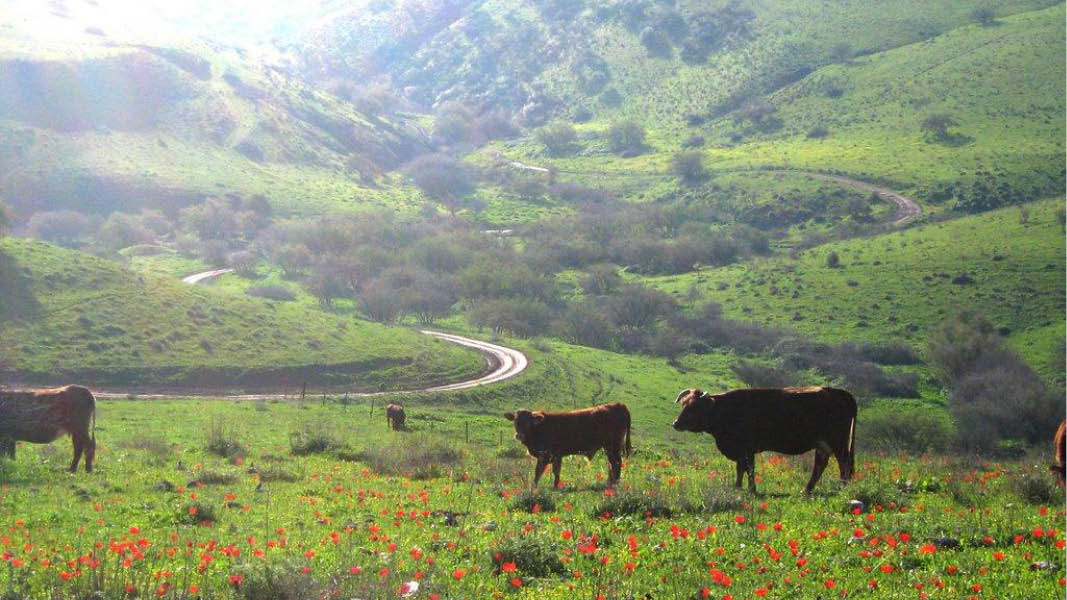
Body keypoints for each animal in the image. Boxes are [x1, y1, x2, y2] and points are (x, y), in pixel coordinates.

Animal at [674, 384, 857, 493]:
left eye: (694, 408)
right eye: (684, 405)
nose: (675, 423)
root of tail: (837, 391)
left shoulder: (747, 449)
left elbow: (749, 469)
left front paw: (751, 489)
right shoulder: (741, 451)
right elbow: (740, 469)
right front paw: (738, 487)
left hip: (838, 442)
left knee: (844, 463)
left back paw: (842, 488)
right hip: (822, 444)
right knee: (820, 465)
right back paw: (807, 490)